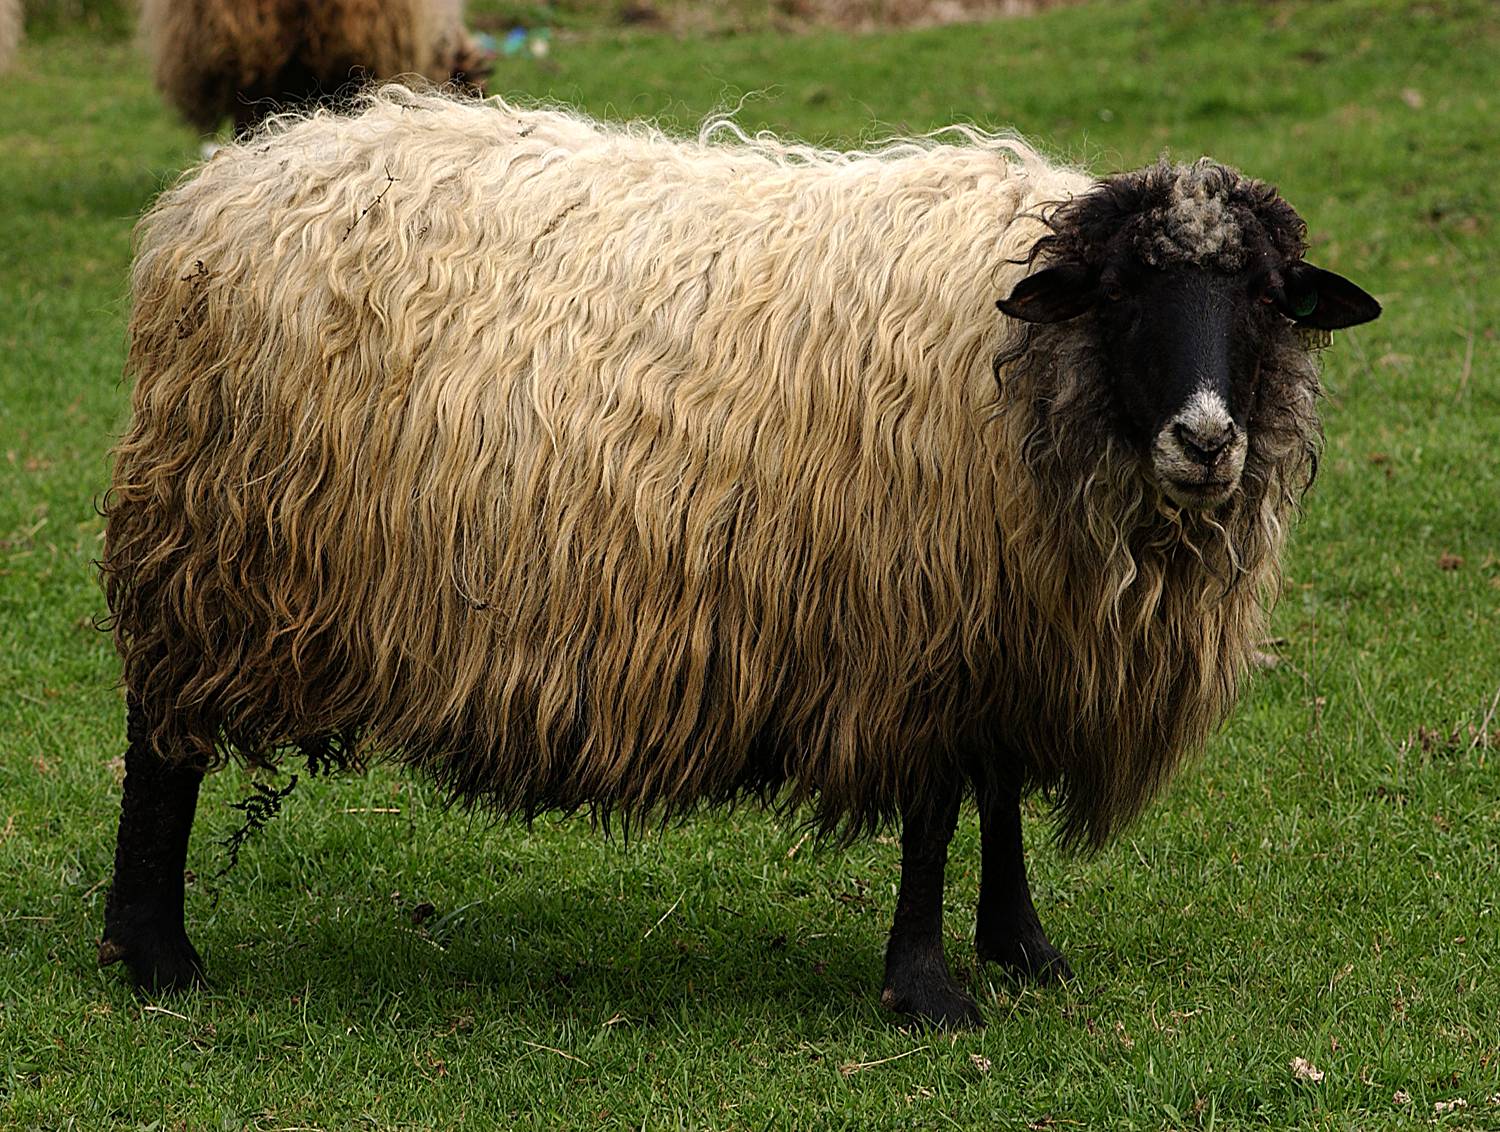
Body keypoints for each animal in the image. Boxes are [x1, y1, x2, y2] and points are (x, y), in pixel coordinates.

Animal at [96, 88, 1380, 1025]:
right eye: (1121, 290)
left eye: (1270, 297)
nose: (1206, 438)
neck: (1033, 366)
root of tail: (224, 185)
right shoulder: (913, 614)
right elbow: (934, 810)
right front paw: (924, 989)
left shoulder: (1011, 620)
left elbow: (1001, 788)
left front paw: (1022, 944)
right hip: (215, 545)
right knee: (161, 749)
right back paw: (154, 953)